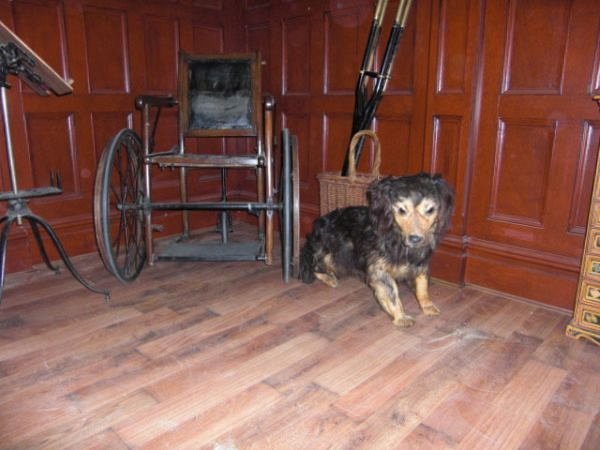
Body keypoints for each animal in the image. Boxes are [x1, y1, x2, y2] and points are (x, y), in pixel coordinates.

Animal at [300, 173, 454, 326]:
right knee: (312, 265)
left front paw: (427, 306)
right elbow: (392, 293)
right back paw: (328, 277)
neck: (396, 236)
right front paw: (401, 317)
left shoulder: (421, 261)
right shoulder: (378, 269)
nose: (415, 239)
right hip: (332, 252)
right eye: (401, 210)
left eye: (430, 210)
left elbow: (423, 286)